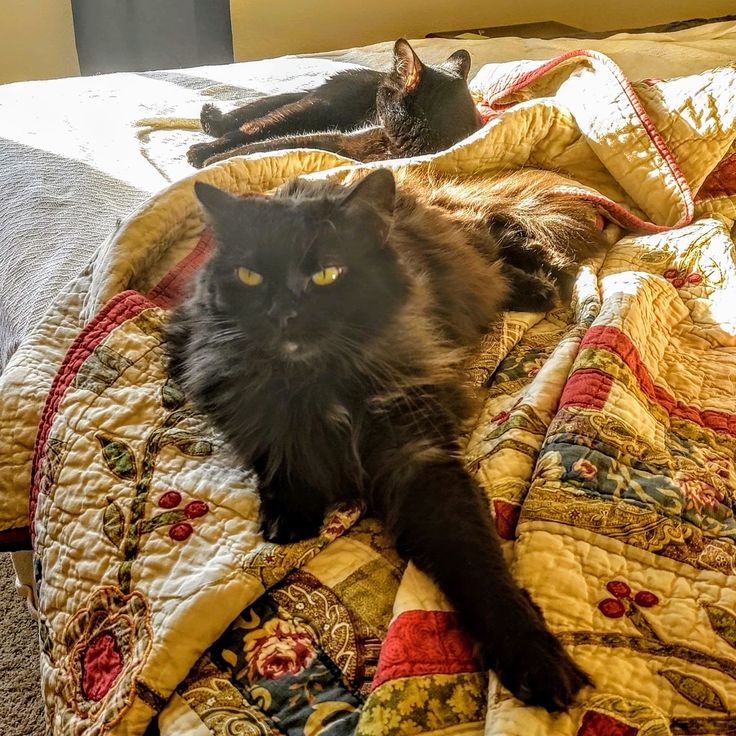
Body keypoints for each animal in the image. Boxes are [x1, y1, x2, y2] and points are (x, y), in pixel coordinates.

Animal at [167, 168, 604, 712]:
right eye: (250, 277)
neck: (317, 382)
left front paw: (534, 661)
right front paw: (290, 513)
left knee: (503, 236)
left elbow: (479, 566)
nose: (282, 313)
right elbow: (275, 445)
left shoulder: (418, 457)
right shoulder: (213, 375)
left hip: (477, 245)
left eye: (327, 275)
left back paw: (541, 282)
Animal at [187, 39, 480, 169]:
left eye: (383, 94)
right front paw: (214, 160)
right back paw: (202, 149)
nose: (376, 95)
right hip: (315, 109)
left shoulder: (340, 143)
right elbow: (262, 145)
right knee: (253, 126)